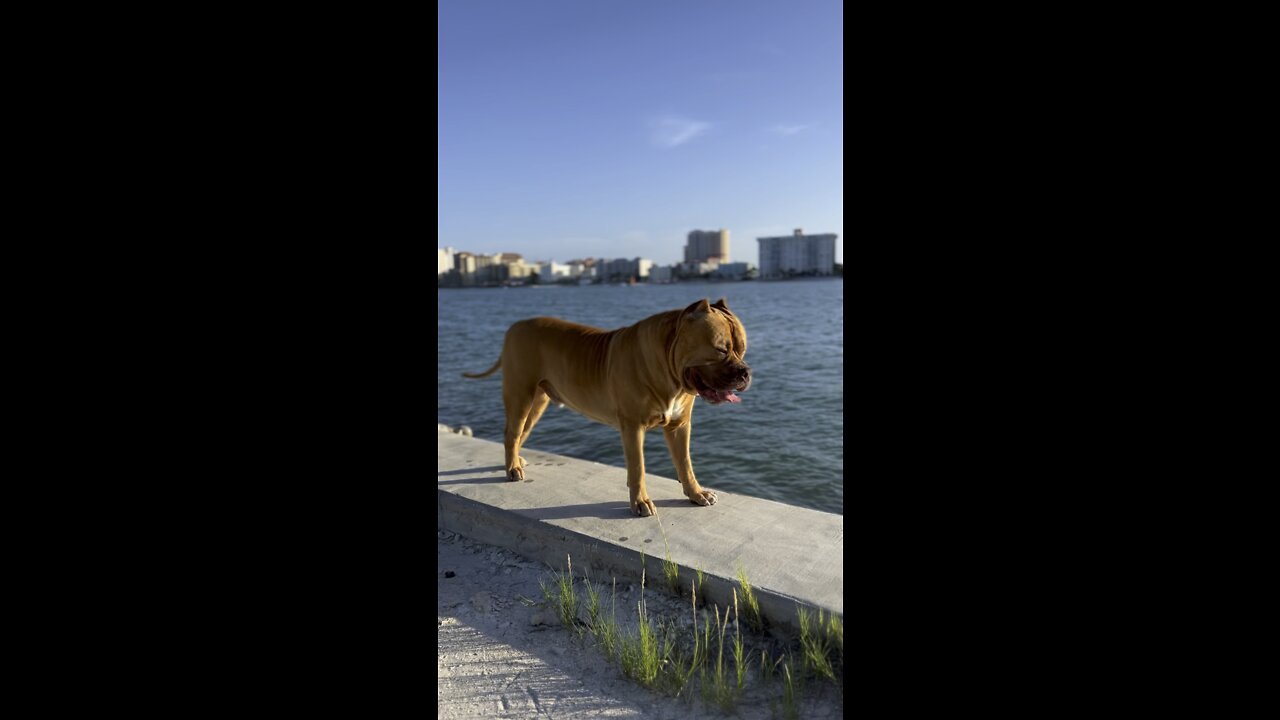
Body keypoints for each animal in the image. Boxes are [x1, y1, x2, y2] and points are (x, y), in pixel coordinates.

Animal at [463, 297, 747, 515]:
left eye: (742, 349)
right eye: (721, 350)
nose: (745, 373)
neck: (668, 369)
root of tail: (515, 326)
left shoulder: (679, 425)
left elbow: (685, 464)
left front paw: (696, 494)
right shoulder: (633, 427)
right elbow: (638, 468)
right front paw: (640, 503)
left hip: (537, 402)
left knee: (520, 432)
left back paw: (516, 461)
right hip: (520, 394)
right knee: (511, 433)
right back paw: (512, 468)